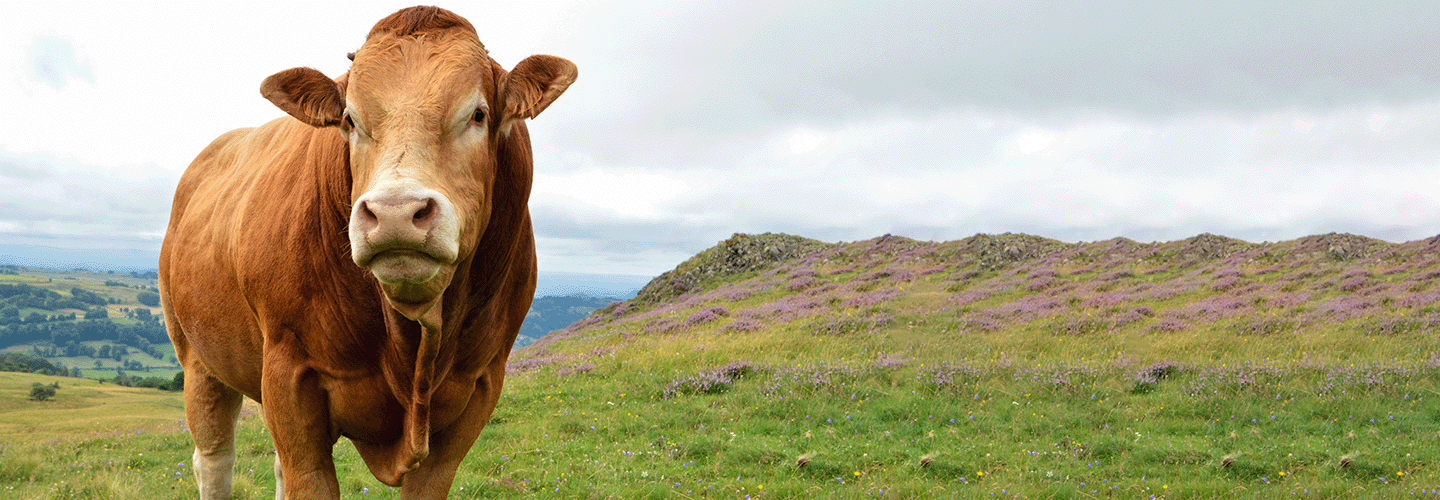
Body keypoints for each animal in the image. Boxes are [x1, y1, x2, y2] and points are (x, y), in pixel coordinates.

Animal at [162, 5, 573, 498]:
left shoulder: (479, 387)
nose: (395, 212)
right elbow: (304, 476)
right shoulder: (287, 377)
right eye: (350, 120)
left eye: (478, 114)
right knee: (214, 460)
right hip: (197, 357)